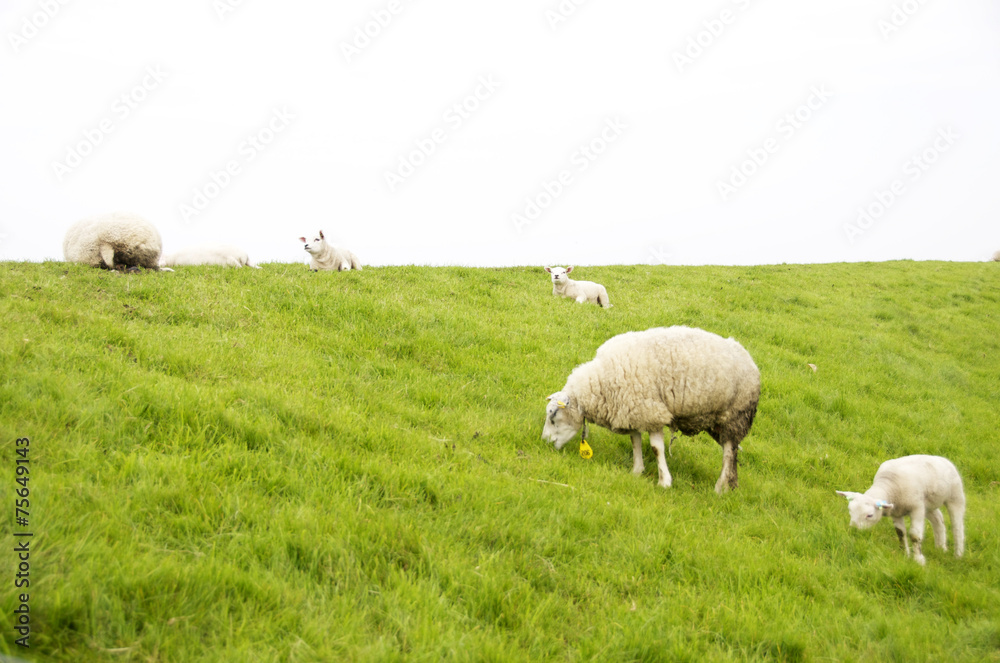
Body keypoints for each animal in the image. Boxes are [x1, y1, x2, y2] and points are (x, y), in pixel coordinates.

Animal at [541, 326, 760, 494]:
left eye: (553, 416)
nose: (545, 442)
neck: (601, 382)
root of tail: (751, 361)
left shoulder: (652, 412)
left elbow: (656, 449)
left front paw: (664, 482)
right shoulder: (633, 411)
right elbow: (635, 441)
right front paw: (637, 471)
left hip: (735, 415)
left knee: (729, 453)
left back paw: (720, 488)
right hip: (717, 422)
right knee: (732, 451)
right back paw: (732, 485)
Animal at [836, 454, 965, 566]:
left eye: (869, 515)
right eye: (850, 511)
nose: (854, 530)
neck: (889, 485)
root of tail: (942, 459)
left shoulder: (917, 508)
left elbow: (915, 535)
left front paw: (919, 560)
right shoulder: (896, 511)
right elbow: (900, 533)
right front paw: (905, 554)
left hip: (955, 495)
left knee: (957, 526)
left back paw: (958, 554)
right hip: (928, 504)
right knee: (938, 520)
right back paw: (941, 548)